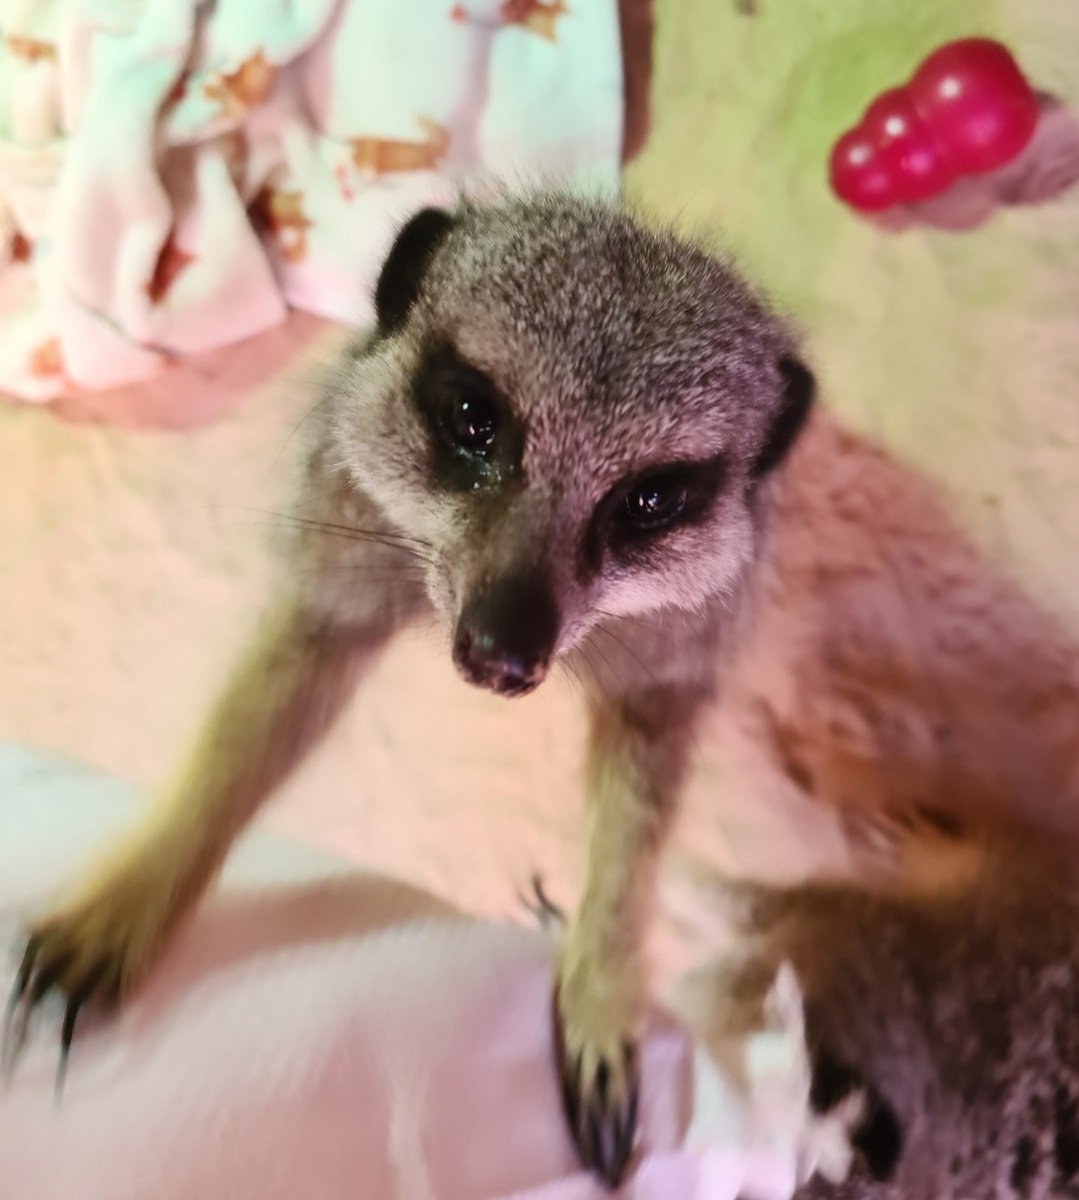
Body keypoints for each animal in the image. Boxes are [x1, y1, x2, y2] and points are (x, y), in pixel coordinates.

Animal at [6, 192, 816, 1186]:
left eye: (651, 500)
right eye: (473, 416)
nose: (503, 652)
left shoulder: (688, 632)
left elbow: (642, 792)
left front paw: (599, 987)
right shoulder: (344, 518)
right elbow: (259, 719)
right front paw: (115, 911)